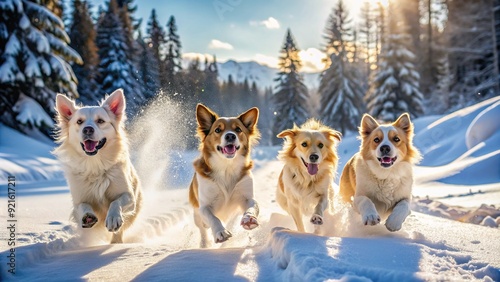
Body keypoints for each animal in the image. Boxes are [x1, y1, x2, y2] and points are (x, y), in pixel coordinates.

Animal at [53, 89, 143, 243]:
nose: (88, 129)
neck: (95, 164)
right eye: (79, 121)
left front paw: (113, 218)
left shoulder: (129, 196)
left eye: (100, 121)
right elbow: (82, 206)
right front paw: (88, 216)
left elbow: (116, 202)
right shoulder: (78, 199)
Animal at [188, 103, 262, 247]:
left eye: (238, 129)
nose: (230, 136)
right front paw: (220, 232)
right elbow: (213, 218)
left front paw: (249, 218)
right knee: (203, 229)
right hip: (196, 215)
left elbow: (253, 206)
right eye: (218, 130)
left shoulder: (246, 197)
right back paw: (204, 244)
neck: (227, 168)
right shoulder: (204, 206)